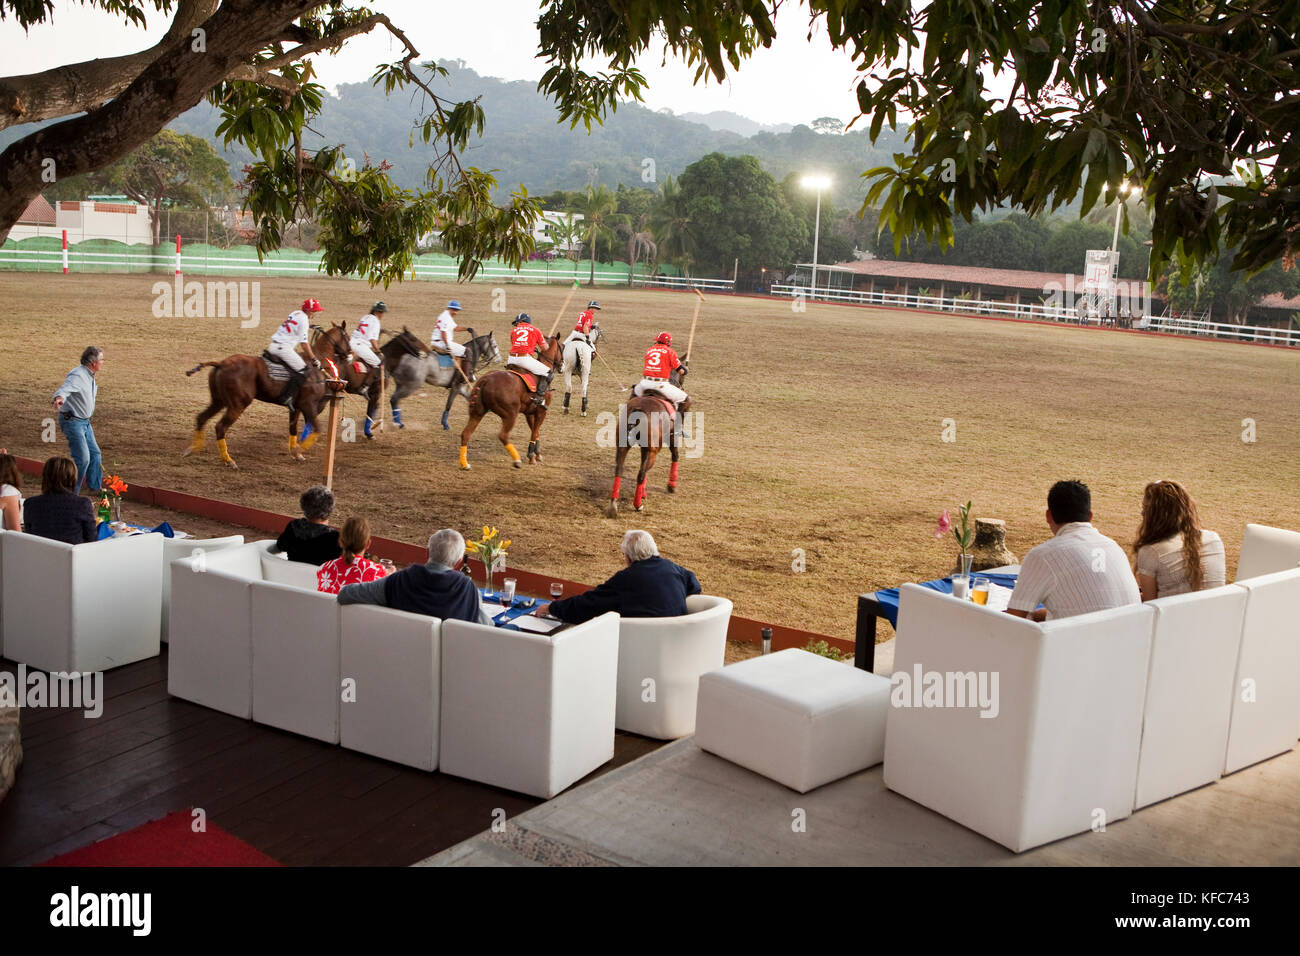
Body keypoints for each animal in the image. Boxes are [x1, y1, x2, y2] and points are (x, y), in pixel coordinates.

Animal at [187, 353, 330, 468]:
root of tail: (221, 363)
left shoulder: (296, 408)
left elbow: (293, 428)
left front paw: (297, 453)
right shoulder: (308, 405)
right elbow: (317, 429)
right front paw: (298, 451)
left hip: (219, 401)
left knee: (202, 417)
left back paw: (193, 448)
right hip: (238, 405)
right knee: (220, 427)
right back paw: (228, 460)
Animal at [457, 335, 564, 473]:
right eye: (562, 347)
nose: (562, 366)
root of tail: (485, 380)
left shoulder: (530, 413)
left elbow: (535, 432)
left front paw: (537, 455)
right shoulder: (541, 411)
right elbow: (535, 431)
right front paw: (531, 455)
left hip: (477, 412)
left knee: (466, 434)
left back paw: (465, 464)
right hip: (510, 414)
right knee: (503, 435)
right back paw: (517, 460)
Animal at [605, 366, 691, 515]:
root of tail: (638, 411)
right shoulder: (671, 438)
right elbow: (675, 456)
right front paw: (671, 485)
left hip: (624, 445)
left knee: (620, 469)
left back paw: (613, 505)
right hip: (653, 450)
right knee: (641, 473)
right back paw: (637, 505)